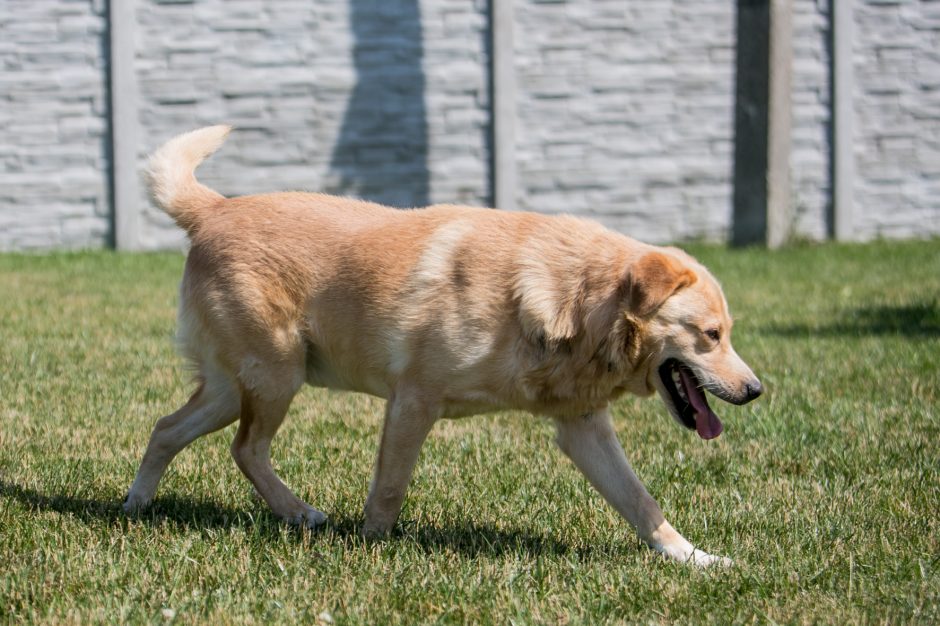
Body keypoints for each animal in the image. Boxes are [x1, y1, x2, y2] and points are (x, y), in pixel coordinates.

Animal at [125, 124, 760, 564]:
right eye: (711, 335)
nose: (755, 390)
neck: (572, 300)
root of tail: (214, 208)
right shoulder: (413, 401)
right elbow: (388, 490)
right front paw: (371, 548)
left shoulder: (584, 426)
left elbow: (641, 502)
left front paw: (695, 558)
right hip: (277, 374)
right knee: (246, 449)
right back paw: (299, 512)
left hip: (234, 387)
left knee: (167, 429)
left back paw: (136, 506)